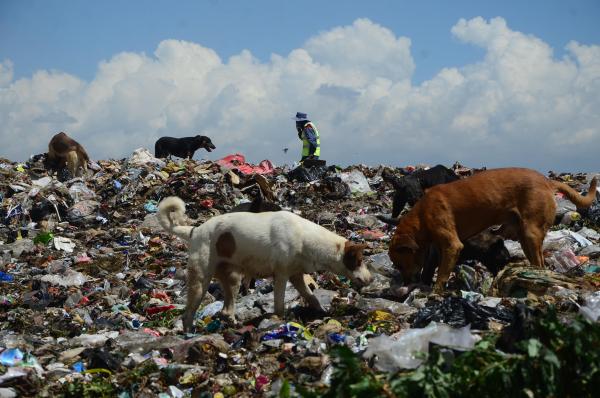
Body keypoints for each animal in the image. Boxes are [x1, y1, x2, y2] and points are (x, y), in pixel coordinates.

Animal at [157, 197, 372, 332]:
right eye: (359, 261)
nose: (371, 279)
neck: (306, 238)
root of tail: (194, 231)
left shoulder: (296, 276)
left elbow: (311, 296)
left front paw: (321, 312)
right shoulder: (281, 276)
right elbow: (279, 305)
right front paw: (280, 320)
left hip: (232, 278)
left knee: (226, 310)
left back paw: (233, 323)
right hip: (200, 281)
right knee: (188, 314)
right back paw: (189, 334)